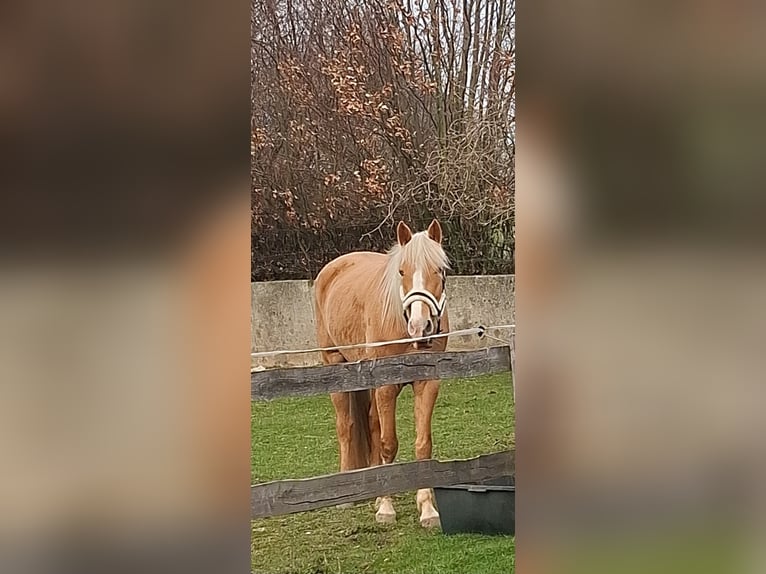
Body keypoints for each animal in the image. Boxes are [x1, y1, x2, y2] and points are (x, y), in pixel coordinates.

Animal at [314, 219, 450, 528]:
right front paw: (386, 508)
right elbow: (388, 444)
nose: (420, 326)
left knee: (372, 425)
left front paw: (427, 509)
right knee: (346, 426)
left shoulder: (427, 383)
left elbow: (422, 445)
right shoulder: (386, 386)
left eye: (440, 270)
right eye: (402, 271)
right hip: (336, 368)